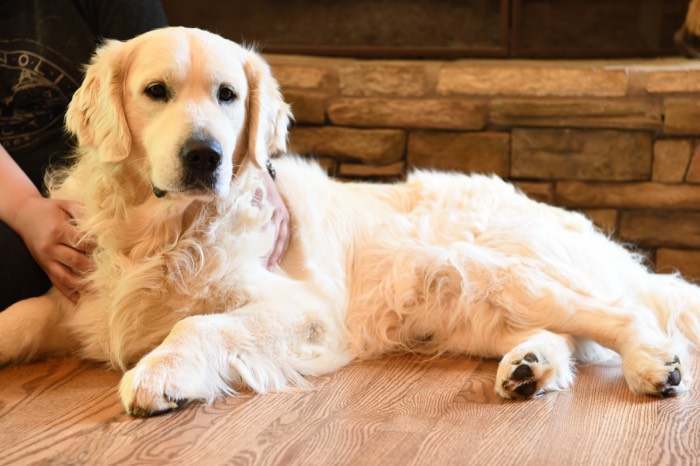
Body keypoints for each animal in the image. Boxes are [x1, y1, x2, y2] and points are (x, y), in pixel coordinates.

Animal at [1, 28, 700, 416]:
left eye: (228, 95)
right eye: (155, 92)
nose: (206, 155)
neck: (166, 232)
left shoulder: (306, 310)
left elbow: (199, 323)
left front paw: (160, 374)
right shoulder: (85, 301)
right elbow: (20, 317)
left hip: (487, 266)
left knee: (618, 313)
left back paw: (653, 366)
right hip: (466, 302)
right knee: (561, 336)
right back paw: (529, 368)